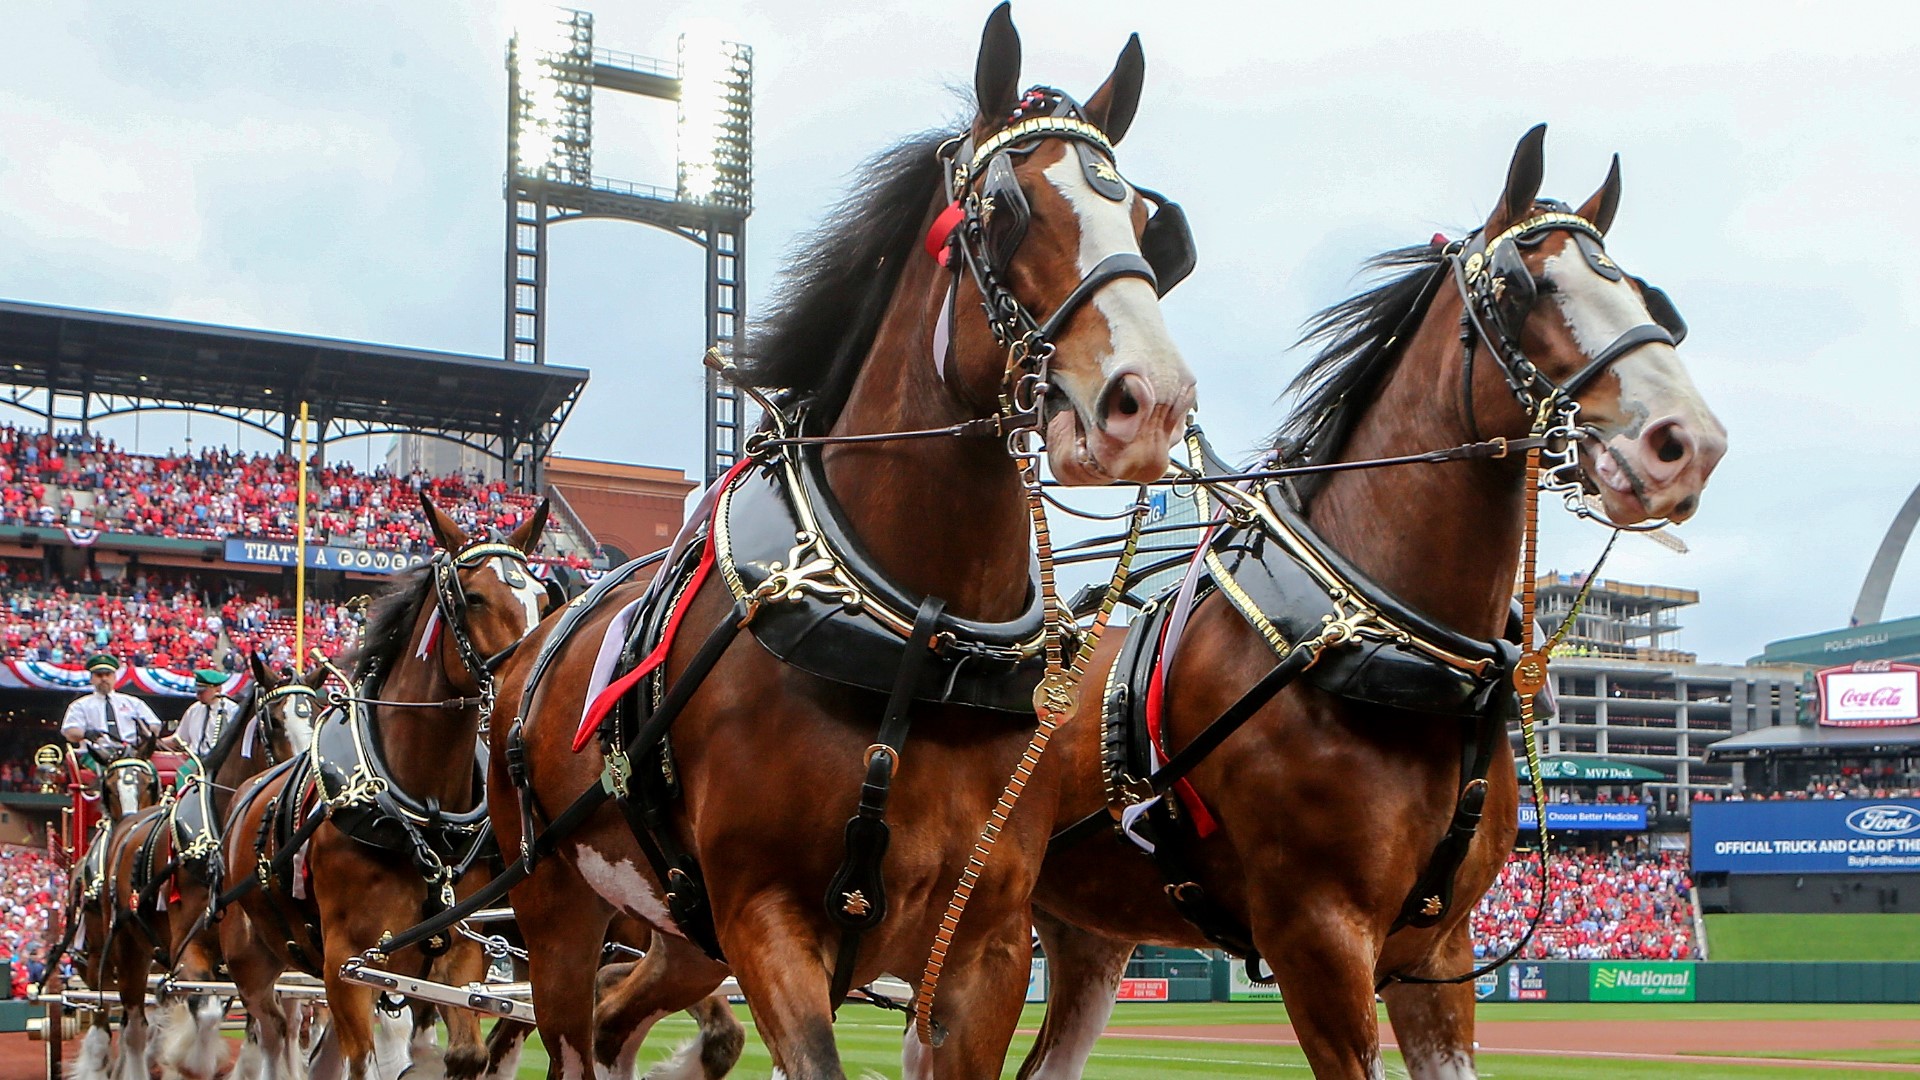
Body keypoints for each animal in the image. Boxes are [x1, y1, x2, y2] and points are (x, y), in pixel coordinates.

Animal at [218, 499, 552, 1076]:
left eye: (542, 597)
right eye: (475, 597)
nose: (529, 686)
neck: (418, 810)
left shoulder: (458, 955)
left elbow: (467, 1052)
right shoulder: (346, 964)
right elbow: (365, 1062)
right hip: (252, 964)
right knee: (272, 1033)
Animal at [487, 4, 1190, 1068]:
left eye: (1151, 224)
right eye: (1004, 209)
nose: (1149, 402)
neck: (916, 636)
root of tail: (530, 647)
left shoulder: (986, 944)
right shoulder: (765, 918)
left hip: (674, 931)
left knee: (616, 1023)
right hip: (556, 908)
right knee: (570, 1032)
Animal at [1021, 122, 1728, 1068]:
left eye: (1646, 294)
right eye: (1527, 286)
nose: (1687, 444)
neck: (1376, 638)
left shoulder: (1438, 950)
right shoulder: (1316, 939)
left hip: (1087, 933)